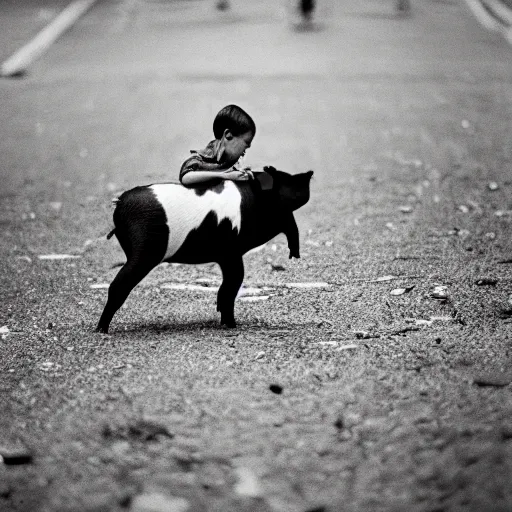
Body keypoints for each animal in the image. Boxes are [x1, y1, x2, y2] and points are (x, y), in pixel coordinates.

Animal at [95, 166, 312, 334]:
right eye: (286, 180)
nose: (309, 173)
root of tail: (120, 202)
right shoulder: (232, 252)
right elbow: (231, 287)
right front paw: (231, 326)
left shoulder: (226, 256)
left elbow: (225, 289)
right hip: (145, 252)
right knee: (118, 286)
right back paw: (101, 330)